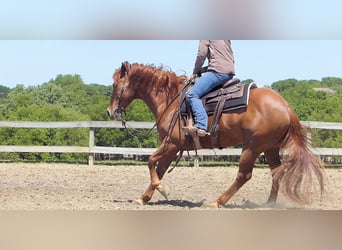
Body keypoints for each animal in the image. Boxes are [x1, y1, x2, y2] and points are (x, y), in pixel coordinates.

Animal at [107, 61, 326, 208]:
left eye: (115, 85)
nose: (110, 112)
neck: (171, 100)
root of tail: (286, 106)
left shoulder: (171, 143)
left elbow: (151, 161)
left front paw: (163, 190)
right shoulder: (172, 148)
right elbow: (159, 169)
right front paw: (144, 197)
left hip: (252, 147)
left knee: (244, 175)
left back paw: (217, 202)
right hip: (270, 148)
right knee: (276, 173)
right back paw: (268, 204)